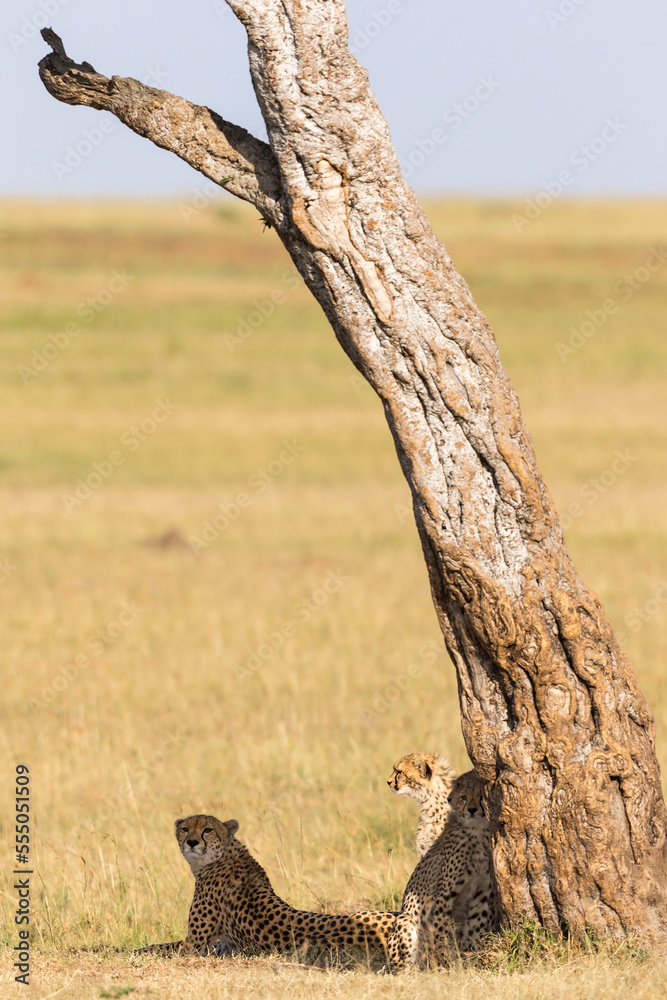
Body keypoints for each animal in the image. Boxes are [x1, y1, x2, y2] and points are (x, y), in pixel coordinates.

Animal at [136, 814, 397, 959]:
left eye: (208, 829)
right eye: (185, 829)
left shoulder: (193, 944)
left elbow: (155, 948)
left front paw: (128, 951)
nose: (191, 842)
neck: (221, 857)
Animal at [387, 770, 494, 971]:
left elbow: (477, 923)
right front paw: (443, 960)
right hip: (406, 921)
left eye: (482, 797)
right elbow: (441, 927)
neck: (477, 831)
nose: (472, 810)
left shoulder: (482, 891)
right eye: (464, 797)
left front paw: (475, 952)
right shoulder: (445, 892)